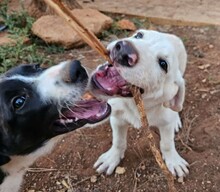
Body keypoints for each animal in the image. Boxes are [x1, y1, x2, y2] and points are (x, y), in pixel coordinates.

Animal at [90, 29, 189, 178]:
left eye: (163, 64)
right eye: (139, 35)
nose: (124, 50)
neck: (136, 105)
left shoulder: (166, 124)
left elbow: (167, 143)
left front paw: (174, 160)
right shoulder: (117, 119)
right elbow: (118, 141)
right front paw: (112, 158)